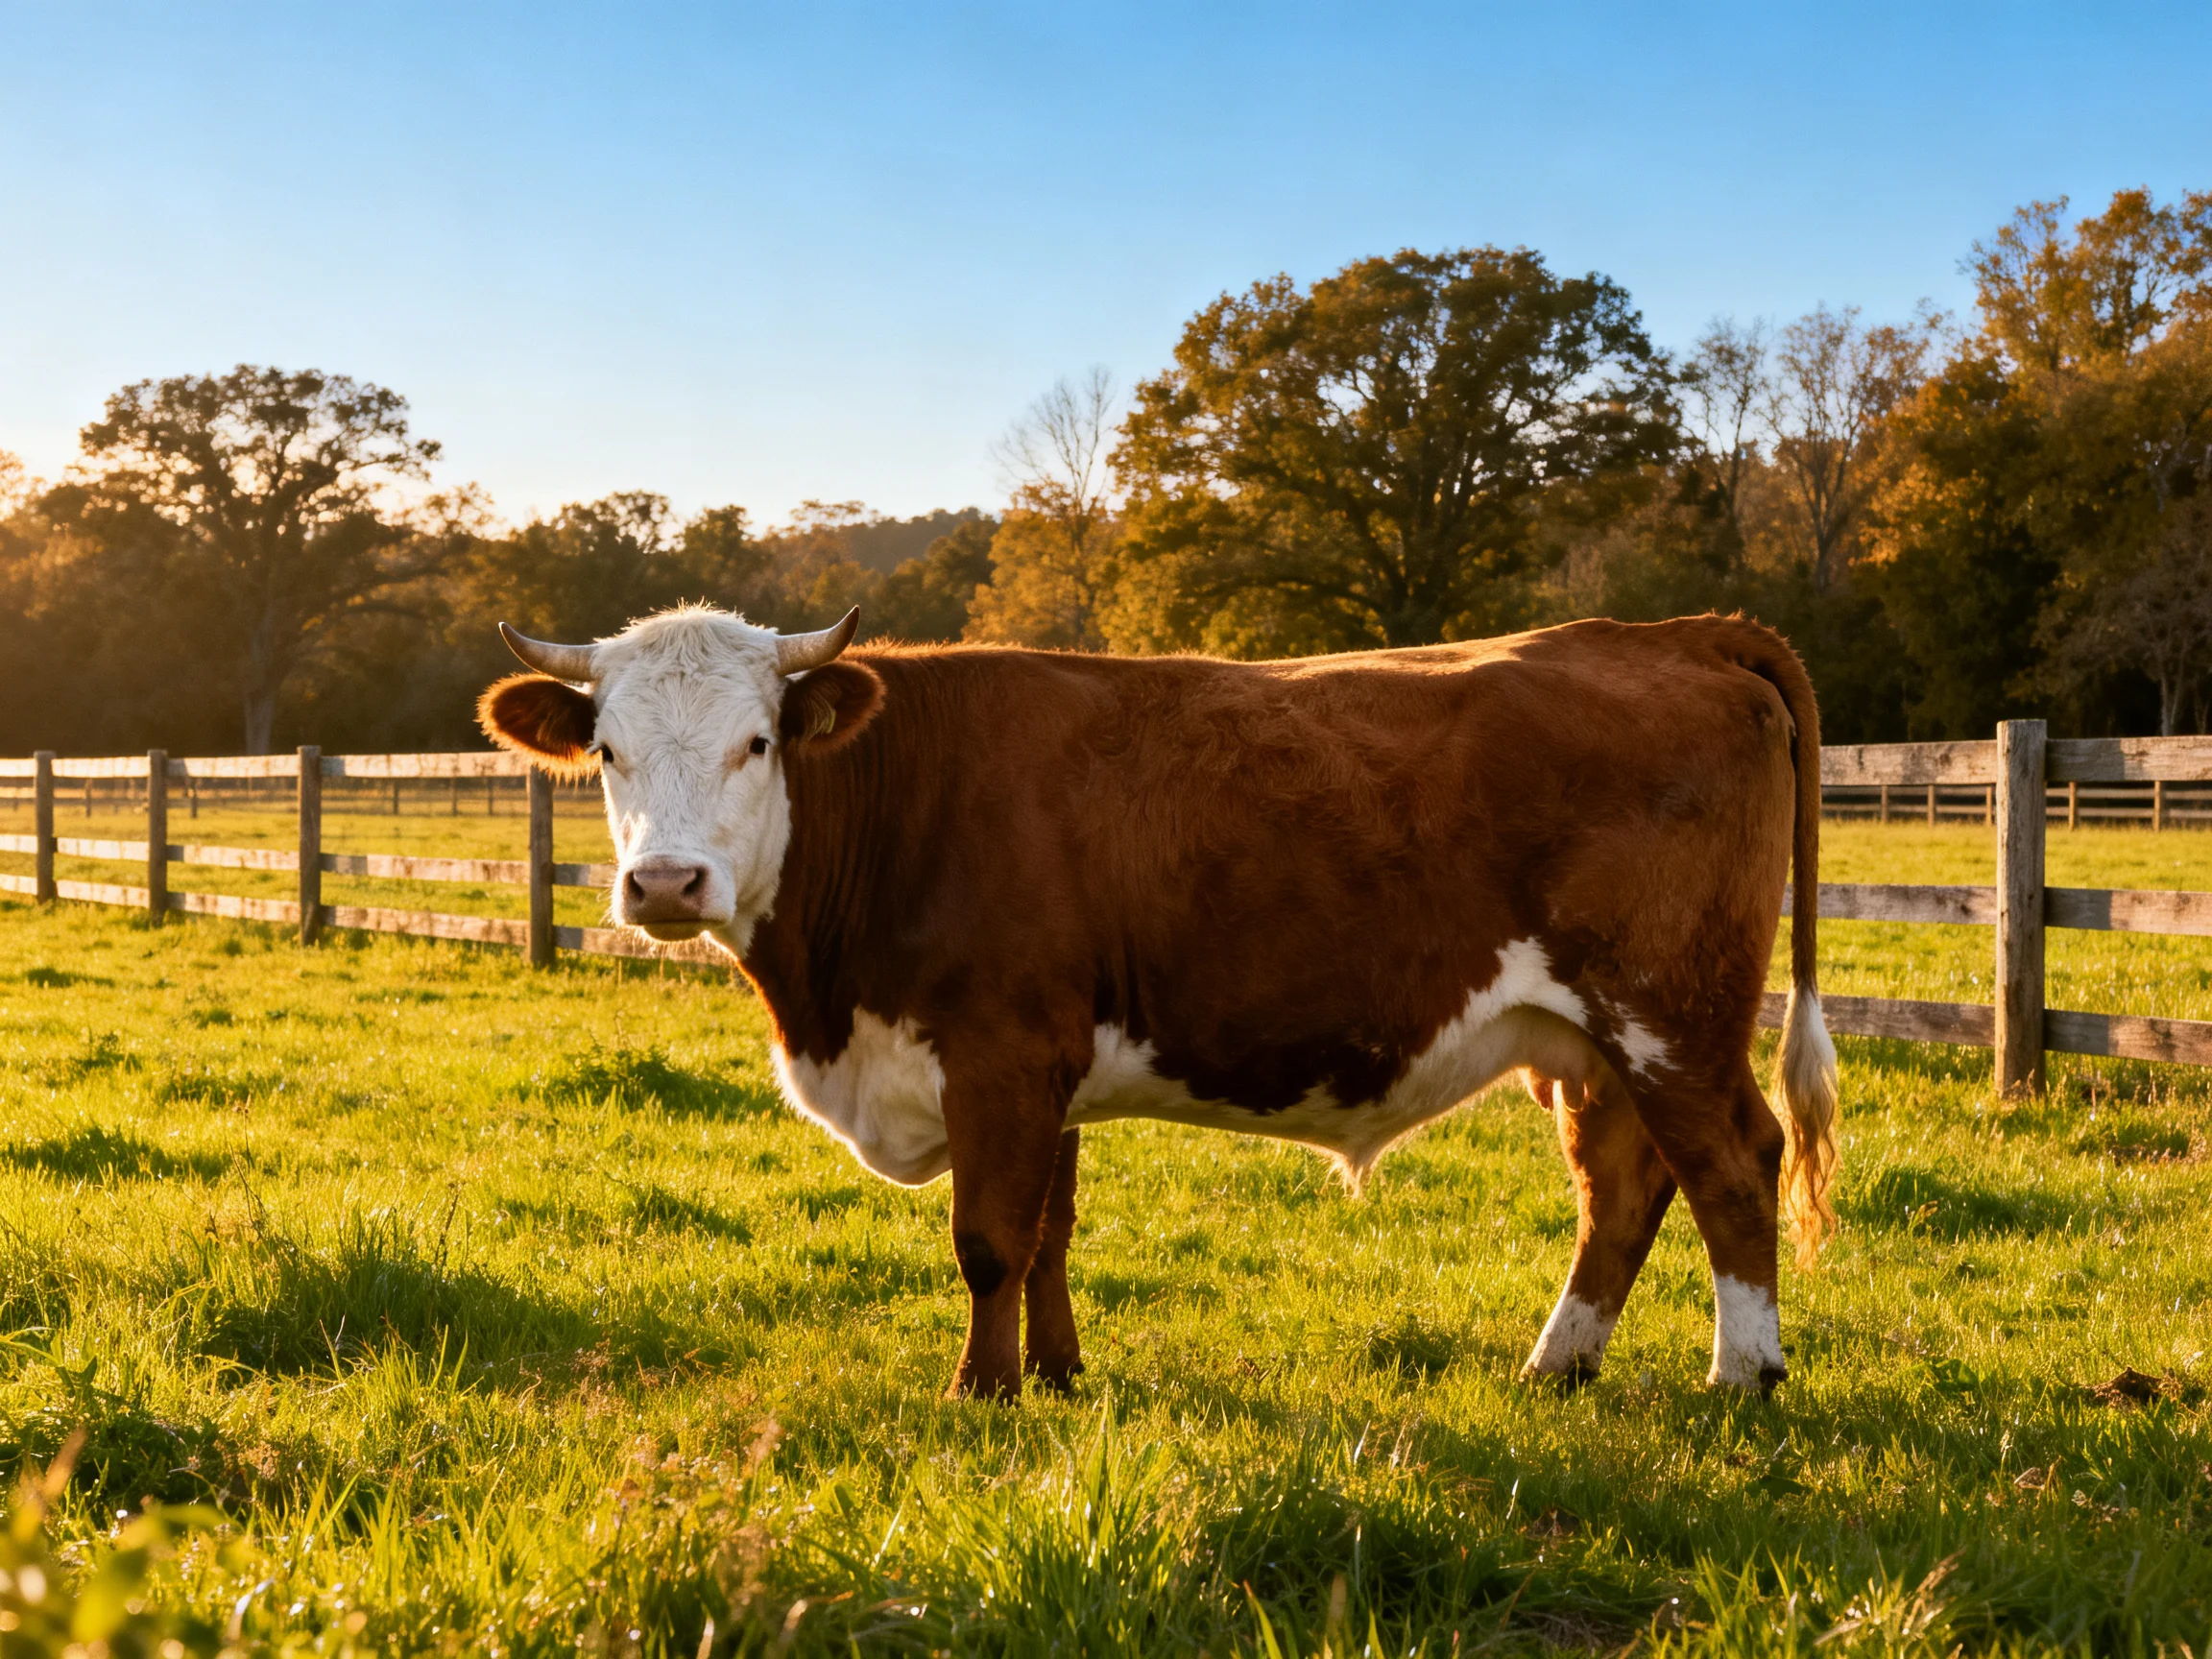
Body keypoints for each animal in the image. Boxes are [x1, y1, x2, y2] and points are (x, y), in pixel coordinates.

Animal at [479, 607, 1840, 1400]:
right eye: (606, 751)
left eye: (757, 743)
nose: (664, 883)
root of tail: (1676, 630)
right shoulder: (1048, 1066)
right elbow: (1048, 1235)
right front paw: (1058, 1377)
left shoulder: (998, 1050)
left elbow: (988, 1238)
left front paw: (981, 1395)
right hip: (1593, 1040)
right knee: (1623, 1182)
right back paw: (1556, 1366)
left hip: (1669, 1010)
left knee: (1732, 1163)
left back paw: (1743, 1375)